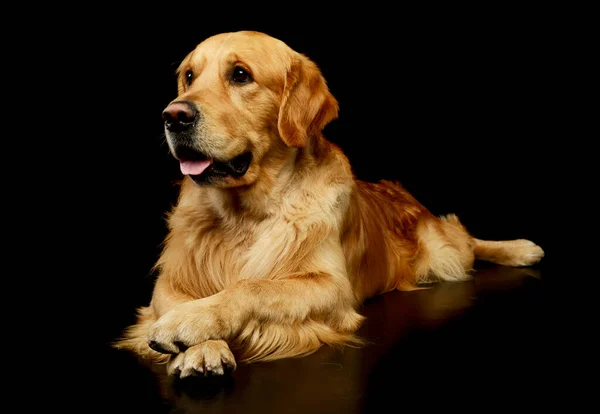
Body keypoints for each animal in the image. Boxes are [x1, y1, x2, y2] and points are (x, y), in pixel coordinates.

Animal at [115, 30, 548, 376]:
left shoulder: (332, 287)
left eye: (240, 75)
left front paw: (191, 321)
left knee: (466, 238)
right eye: (188, 76)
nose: (173, 115)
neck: (246, 214)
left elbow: (252, 286)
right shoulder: (169, 281)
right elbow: (181, 299)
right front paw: (200, 345)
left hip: (444, 250)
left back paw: (522, 249)